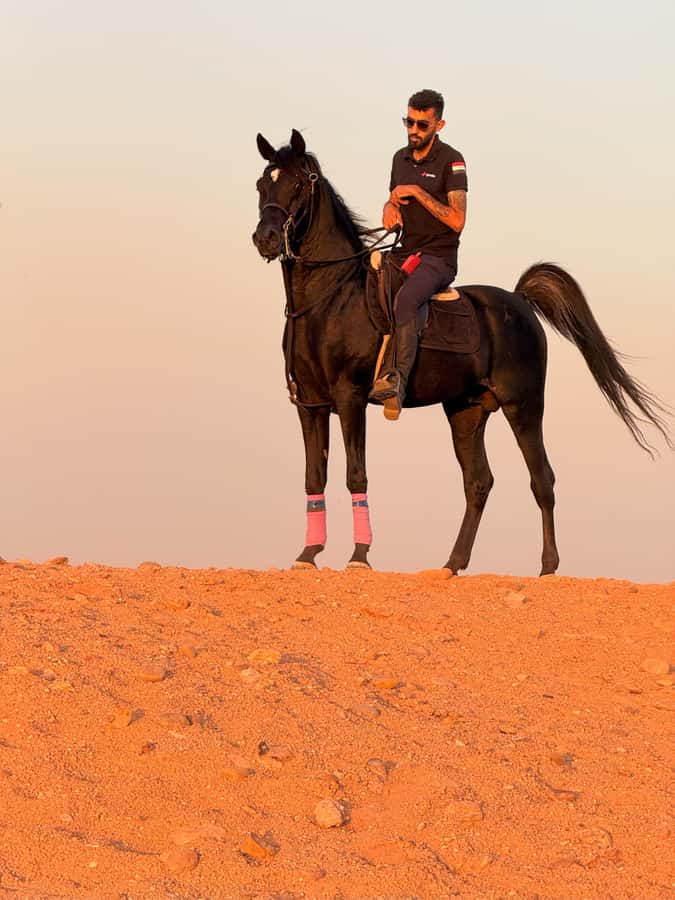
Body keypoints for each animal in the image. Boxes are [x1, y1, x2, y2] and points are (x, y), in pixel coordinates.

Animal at [252, 129, 671, 575]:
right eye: (262, 184)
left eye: (298, 183)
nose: (266, 238)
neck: (329, 298)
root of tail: (520, 301)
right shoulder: (310, 404)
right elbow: (314, 476)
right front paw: (308, 554)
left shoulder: (350, 398)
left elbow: (355, 474)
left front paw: (360, 556)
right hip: (466, 411)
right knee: (478, 482)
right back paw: (452, 563)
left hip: (523, 405)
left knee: (542, 478)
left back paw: (547, 567)